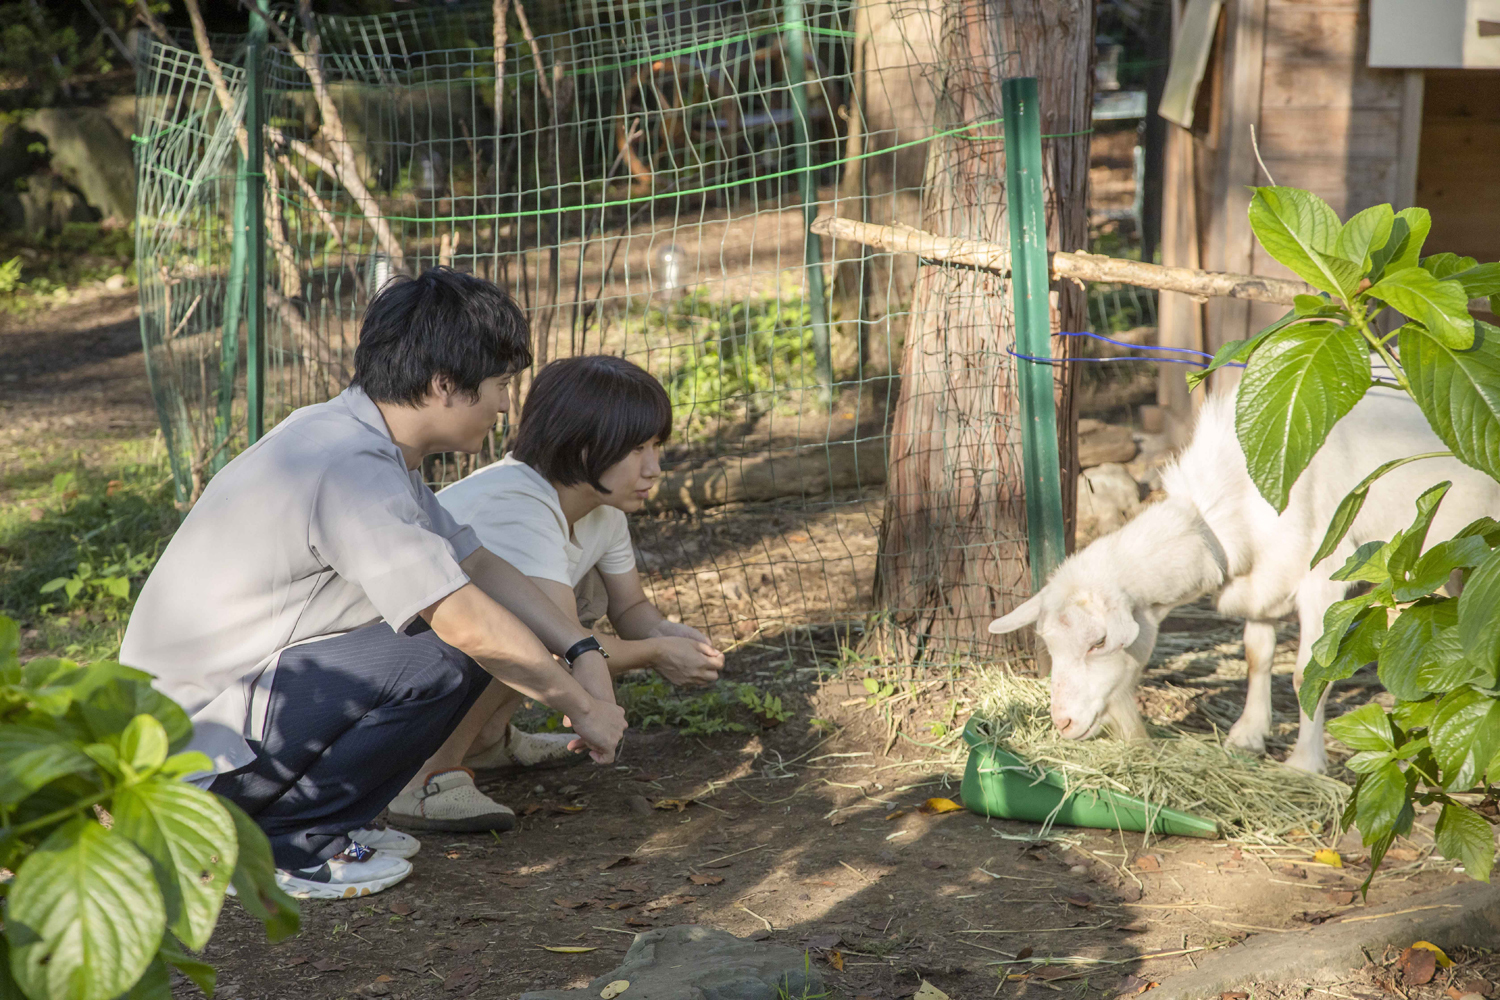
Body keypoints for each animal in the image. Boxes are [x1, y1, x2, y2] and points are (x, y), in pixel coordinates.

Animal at [996, 389, 1500, 773]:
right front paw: (1248, 734)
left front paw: (1304, 764)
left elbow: (1307, 673)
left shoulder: (1323, 581)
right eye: (1051, 646)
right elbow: (1257, 656)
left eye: (1099, 642)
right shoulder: (1263, 581)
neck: (1224, 510)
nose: (1062, 723)